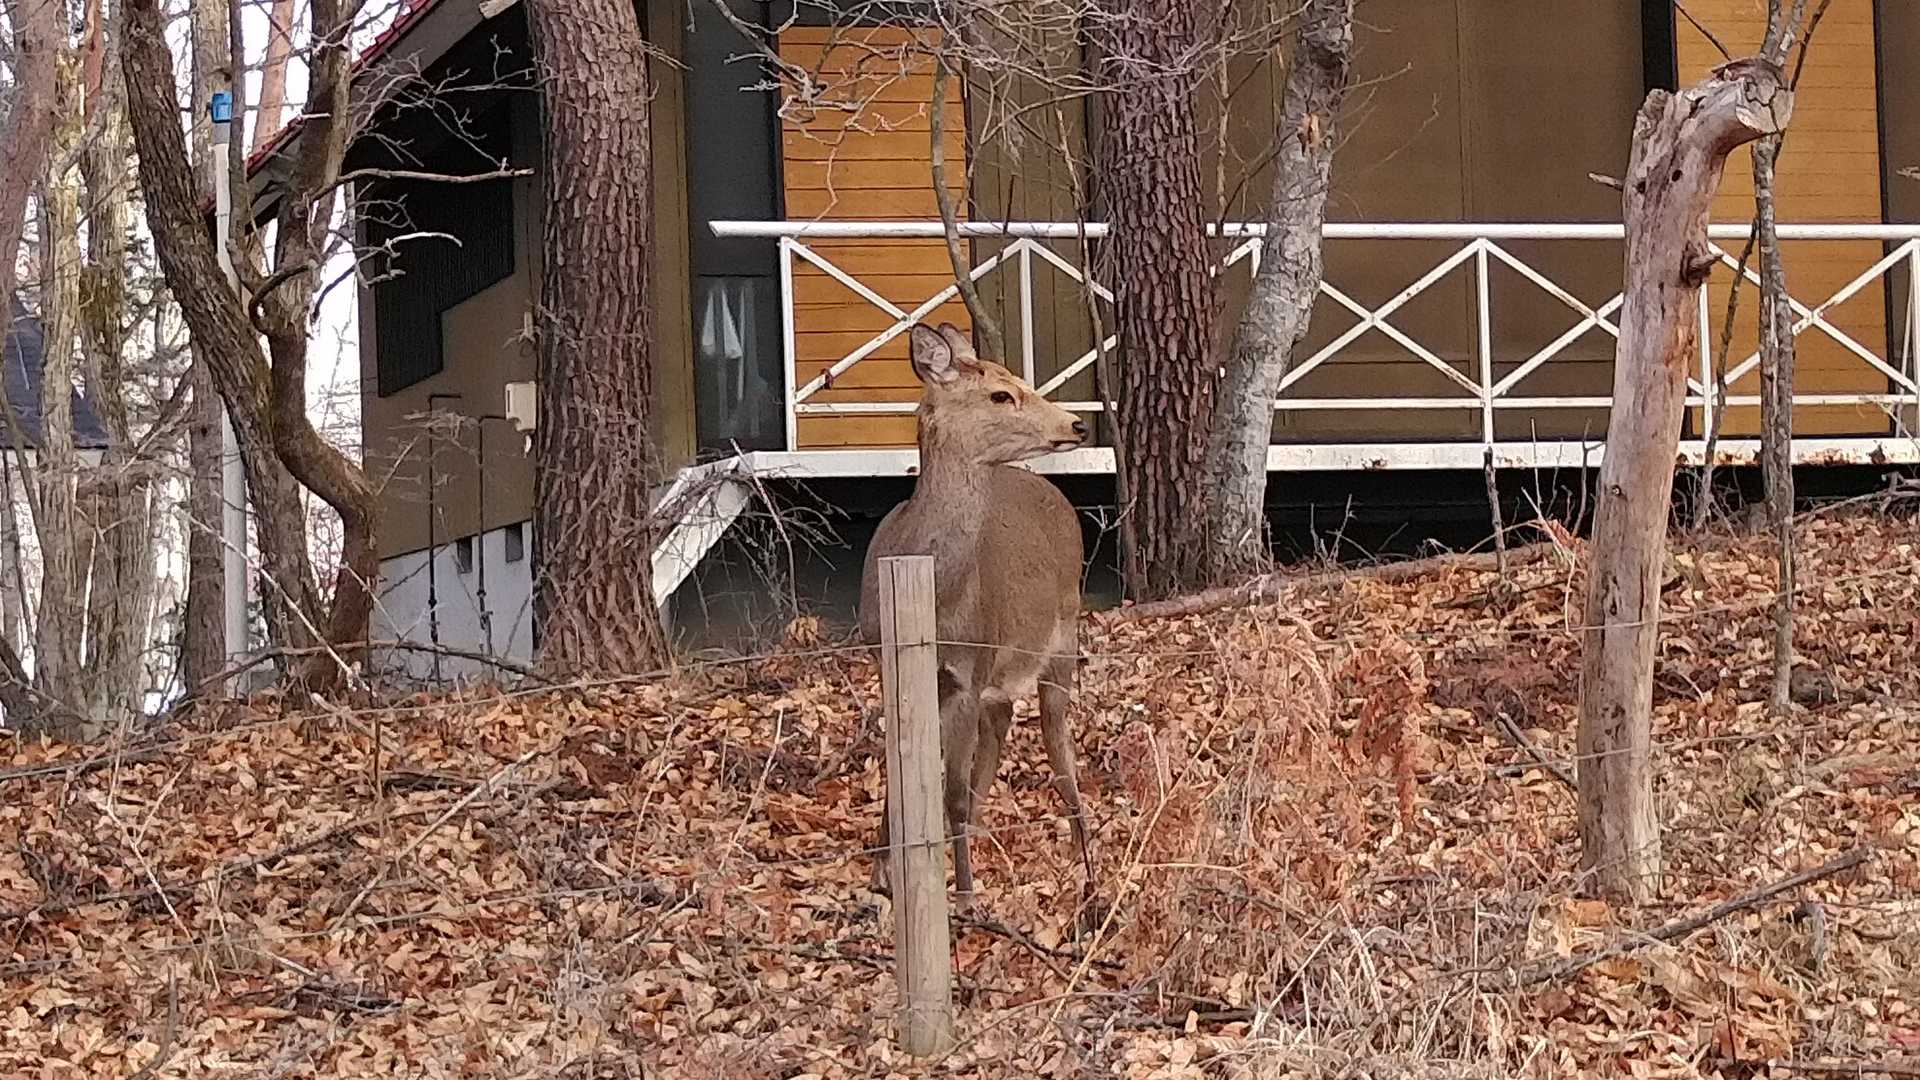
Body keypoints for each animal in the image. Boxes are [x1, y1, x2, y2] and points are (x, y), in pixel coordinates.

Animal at [859, 320, 1099, 925]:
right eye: (1000, 394)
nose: (1078, 423)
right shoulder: (892, 668)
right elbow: (901, 776)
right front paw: (881, 875)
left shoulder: (969, 668)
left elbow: (949, 789)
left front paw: (964, 894)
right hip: (1001, 675)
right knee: (999, 730)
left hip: (1061, 639)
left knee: (1058, 748)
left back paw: (1085, 864)